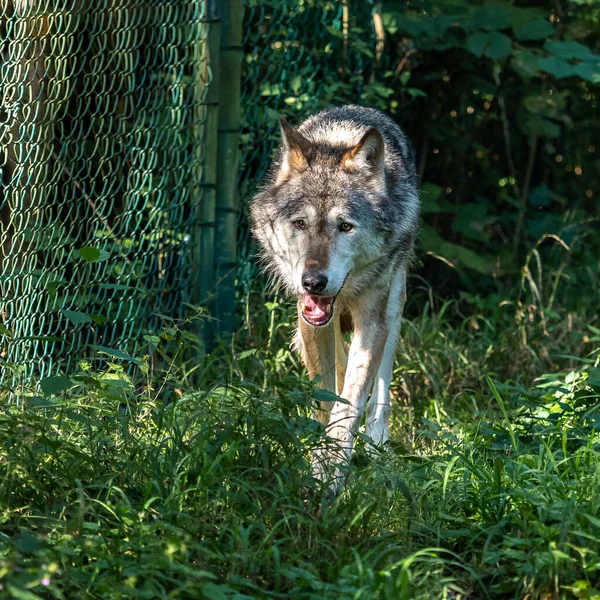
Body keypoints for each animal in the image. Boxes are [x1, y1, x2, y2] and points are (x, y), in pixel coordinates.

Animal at [251, 105, 420, 486]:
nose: (313, 282)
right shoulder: (309, 320)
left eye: (345, 226)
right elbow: (326, 396)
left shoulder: (373, 321)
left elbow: (351, 401)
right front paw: (319, 463)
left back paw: (377, 448)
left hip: (394, 308)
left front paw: (330, 472)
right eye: (299, 223)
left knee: (381, 388)